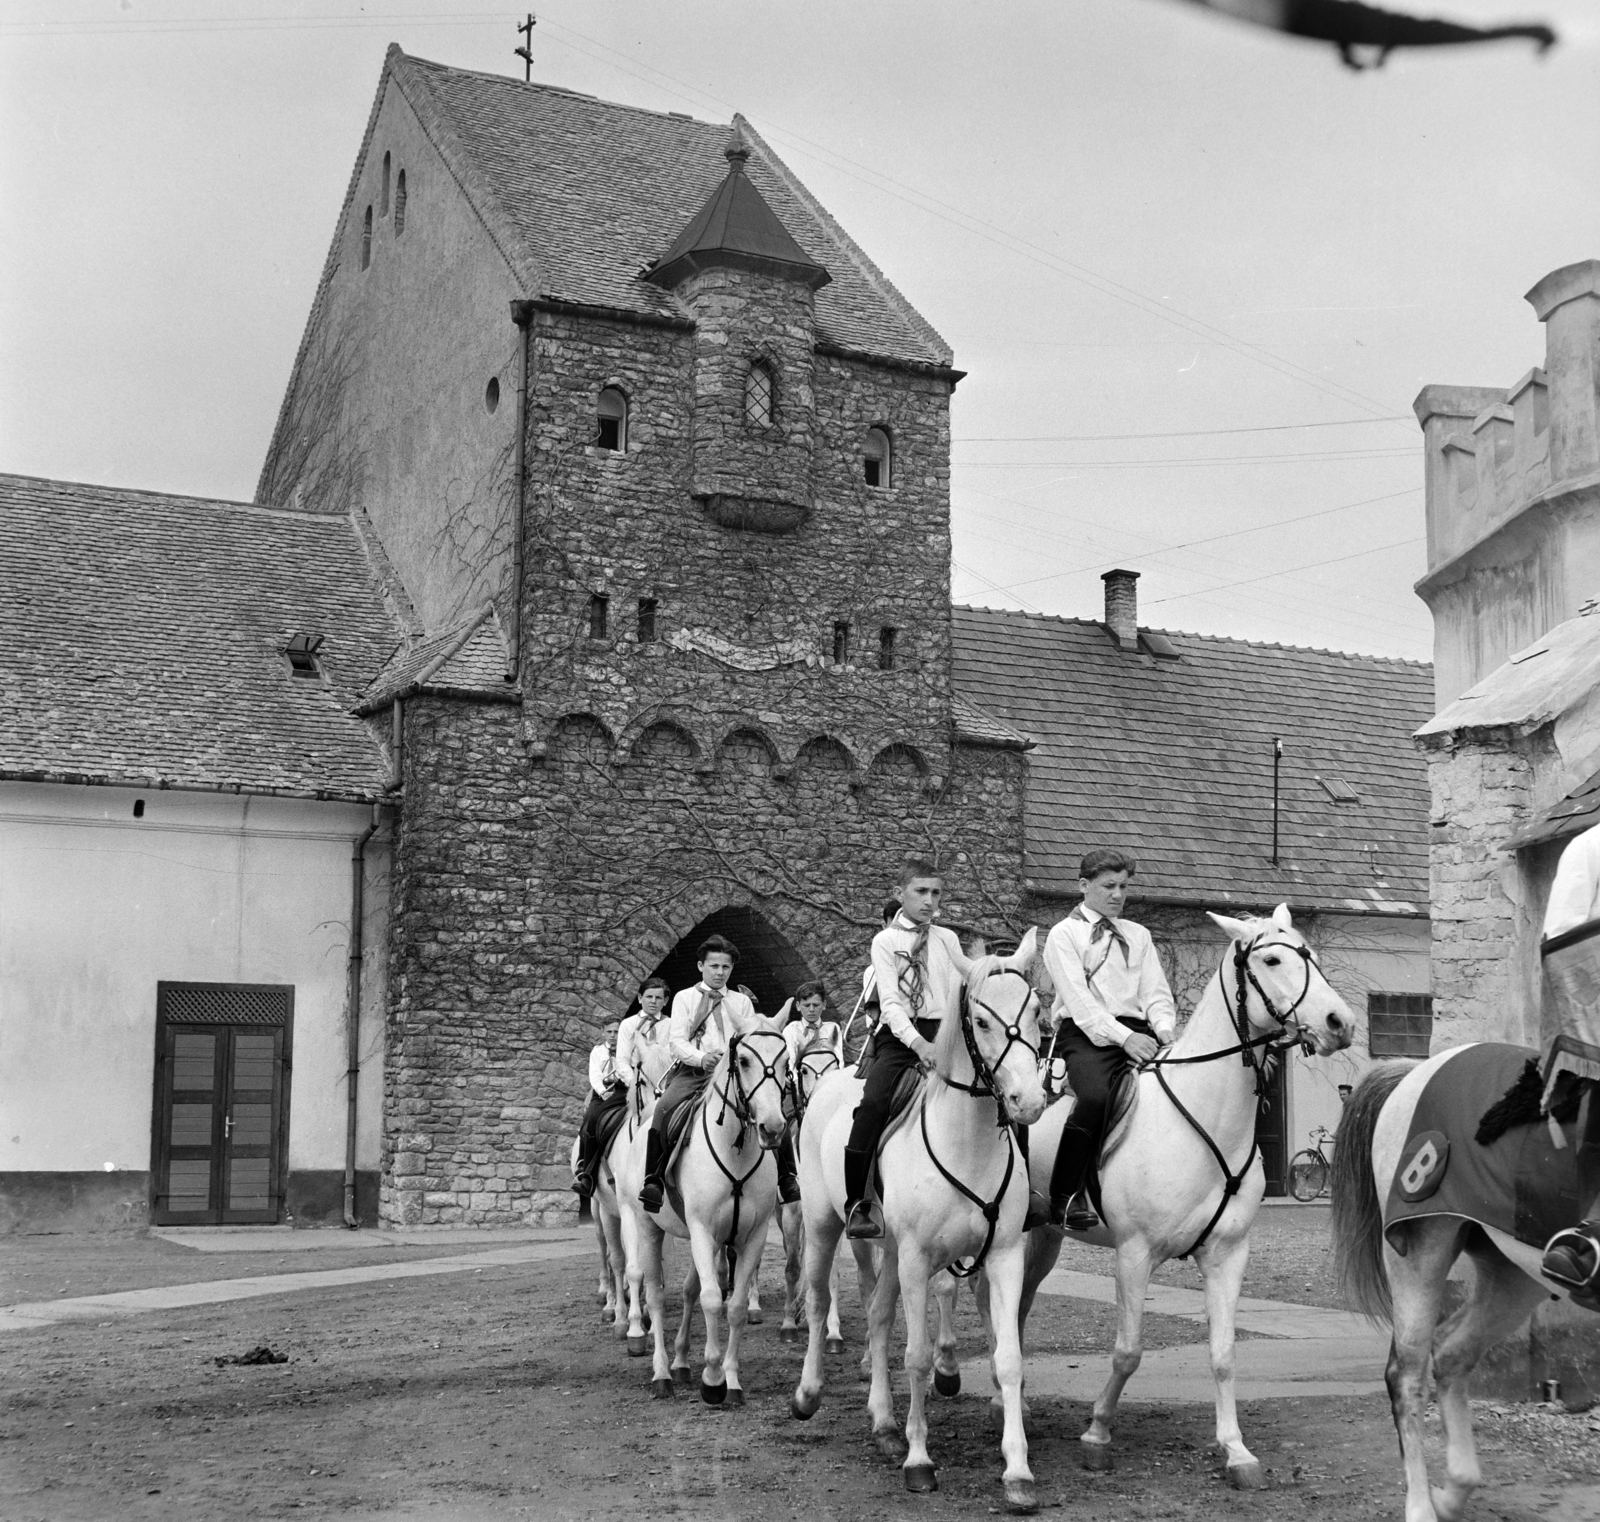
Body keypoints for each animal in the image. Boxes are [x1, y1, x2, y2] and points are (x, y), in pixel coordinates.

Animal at [614, 1024, 790, 1401]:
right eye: (743, 1060)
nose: (772, 1128)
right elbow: (711, 1299)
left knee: (688, 1290)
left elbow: (734, 1307)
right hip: (646, 1226)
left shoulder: (752, 1236)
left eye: (786, 1062)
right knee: (655, 1294)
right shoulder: (702, 1231)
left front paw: (732, 1381)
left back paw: (681, 1362)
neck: (736, 1149)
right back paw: (662, 1372)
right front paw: (712, 1378)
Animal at [790, 934, 1049, 1517]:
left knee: (879, 1315)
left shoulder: (1003, 1258)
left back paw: (884, 1423)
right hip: (823, 1226)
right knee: (819, 1302)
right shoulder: (914, 1259)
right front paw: (919, 1460)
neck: (967, 1142)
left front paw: (1018, 1472)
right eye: (981, 1021)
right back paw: (809, 1393)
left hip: (889, 1251)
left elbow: (1009, 1357)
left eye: (1036, 1013)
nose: (1029, 1102)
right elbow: (916, 1355)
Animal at [998, 902, 1350, 1485]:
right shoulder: (1134, 1254)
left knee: (1020, 1305)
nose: (1340, 1024)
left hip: (1044, 1236)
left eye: (1313, 956)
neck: (1205, 1114)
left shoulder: (1228, 1255)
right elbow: (1128, 1351)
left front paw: (1237, 1451)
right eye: (1272, 959)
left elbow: (1224, 1354)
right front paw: (1097, 1433)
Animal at [1331, 1049, 1580, 1522]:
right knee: (1407, 1377)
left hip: (1517, 1272)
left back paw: (1451, 1492)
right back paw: (1422, 1505)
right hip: (1420, 1252)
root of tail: (1417, 1069)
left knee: (1451, 1353)